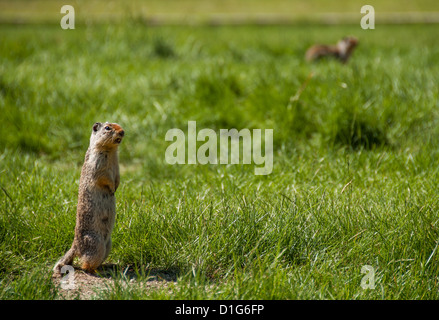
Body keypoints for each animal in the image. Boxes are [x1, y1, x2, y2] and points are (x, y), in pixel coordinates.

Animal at [54, 121, 125, 274]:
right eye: (107, 128)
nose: (122, 132)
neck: (111, 151)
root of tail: (75, 246)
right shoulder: (97, 164)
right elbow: (104, 177)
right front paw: (112, 189)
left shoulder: (117, 165)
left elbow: (117, 177)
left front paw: (116, 187)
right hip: (96, 244)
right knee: (85, 265)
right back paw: (97, 271)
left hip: (108, 245)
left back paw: (105, 266)